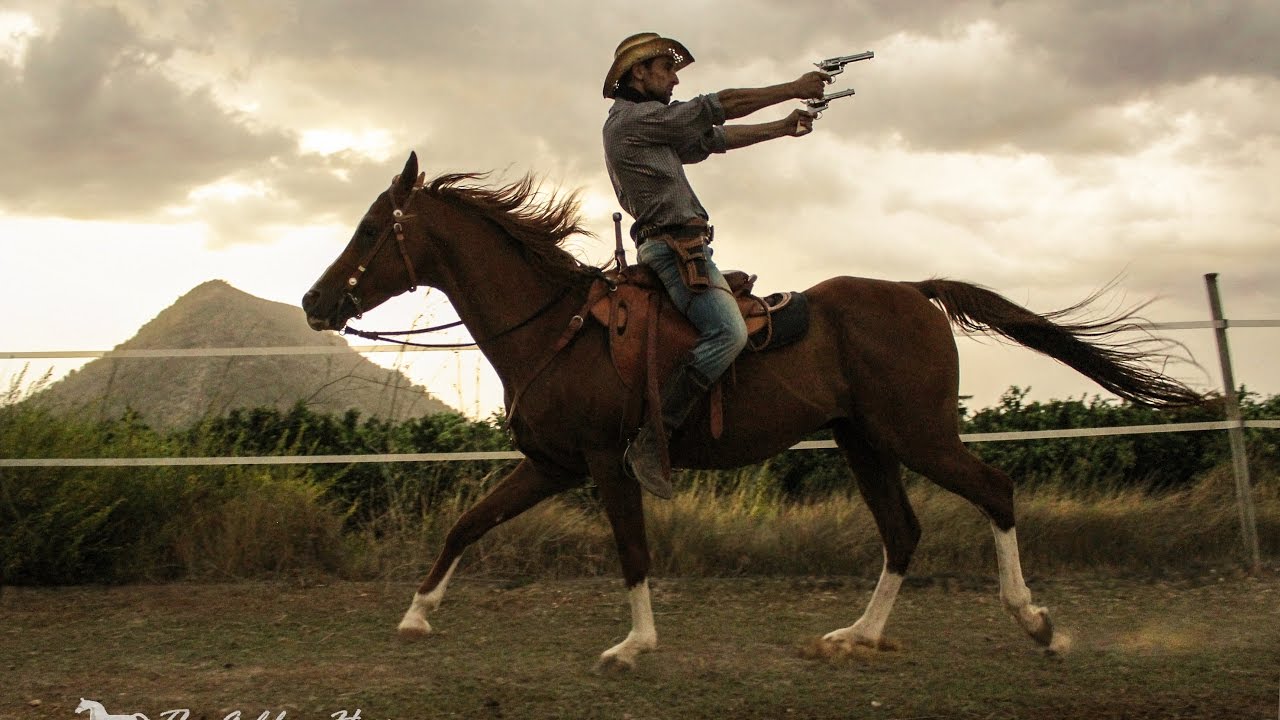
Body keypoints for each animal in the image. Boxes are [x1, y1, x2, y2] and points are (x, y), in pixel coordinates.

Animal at [302, 151, 1202, 670]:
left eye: (373, 227)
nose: (314, 301)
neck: (558, 327)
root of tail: (914, 292)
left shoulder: (604, 462)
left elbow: (631, 549)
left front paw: (633, 644)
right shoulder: (552, 463)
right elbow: (468, 524)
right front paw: (416, 616)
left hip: (918, 435)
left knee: (995, 491)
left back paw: (1038, 624)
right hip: (865, 441)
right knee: (902, 531)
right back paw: (859, 637)